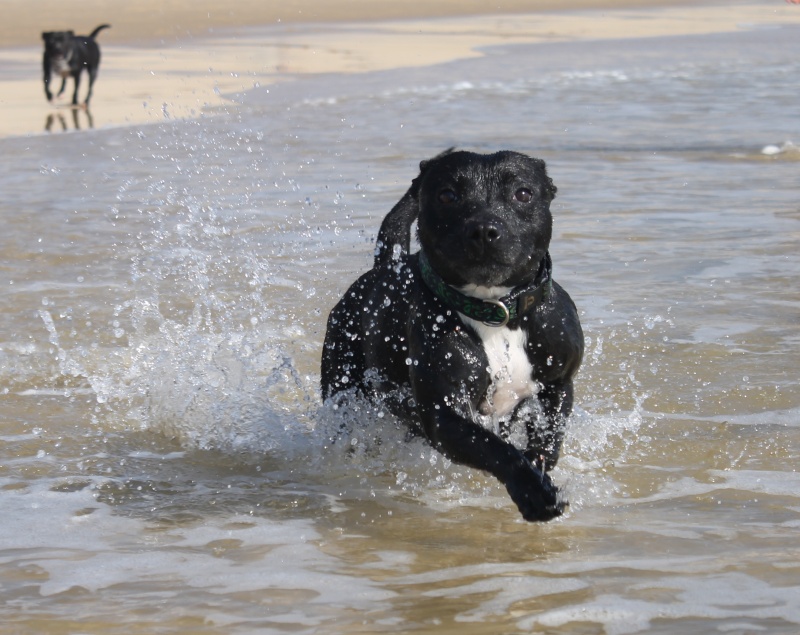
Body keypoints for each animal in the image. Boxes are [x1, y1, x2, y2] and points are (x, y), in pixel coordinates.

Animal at [322, 150, 584, 520]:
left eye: (523, 193)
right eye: (447, 195)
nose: (485, 229)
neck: (495, 312)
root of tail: (385, 268)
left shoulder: (559, 384)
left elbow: (549, 434)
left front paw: (538, 464)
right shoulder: (444, 413)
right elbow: (495, 448)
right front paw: (533, 488)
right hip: (343, 381)